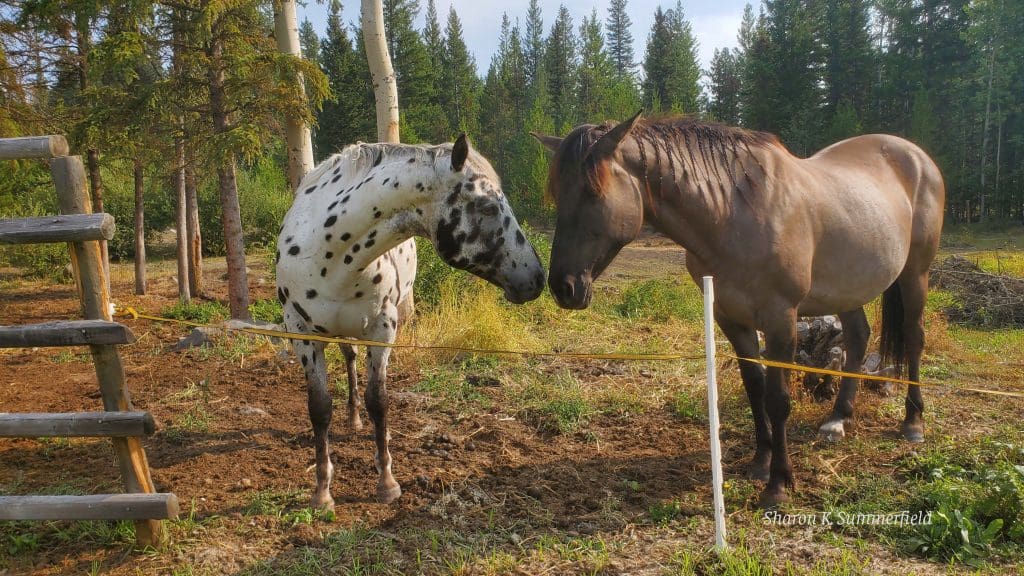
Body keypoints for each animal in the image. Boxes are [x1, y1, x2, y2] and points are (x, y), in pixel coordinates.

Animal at [276, 135, 548, 506]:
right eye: (488, 207)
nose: (537, 278)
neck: (331, 257)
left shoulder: (382, 328)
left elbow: (379, 401)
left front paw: (386, 482)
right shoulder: (301, 333)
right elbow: (319, 408)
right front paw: (321, 491)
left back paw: (357, 420)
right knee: (349, 358)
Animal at [536, 111, 942, 502]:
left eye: (592, 193)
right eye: (558, 195)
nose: (563, 287)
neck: (733, 214)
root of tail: (916, 155)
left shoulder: (781, 321)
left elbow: (778, 399)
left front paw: (779, 484)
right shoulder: (730, 319)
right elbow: (755, 390)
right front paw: (761, 462)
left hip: (915, 273)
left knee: (914, 337)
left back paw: (913, 423)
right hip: (846, 290)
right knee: (858, 338)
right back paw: (839, 419)